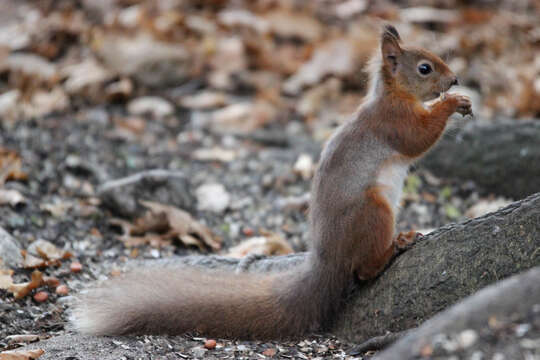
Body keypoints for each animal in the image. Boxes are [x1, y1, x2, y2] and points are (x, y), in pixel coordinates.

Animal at [70, 26, 468, 340]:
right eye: (425, 68)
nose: (454, 80)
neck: (393, 94)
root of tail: (328, 259)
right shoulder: (394, 121)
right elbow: (418, 139)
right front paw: (452, 104)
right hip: (373, 210)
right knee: (363, 269)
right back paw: (396, 244)